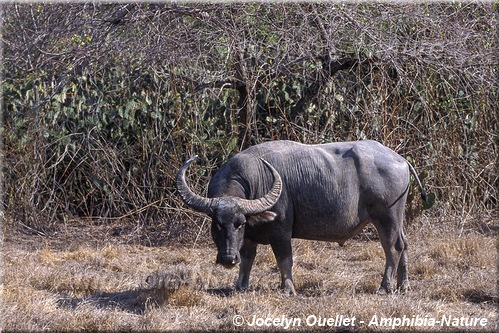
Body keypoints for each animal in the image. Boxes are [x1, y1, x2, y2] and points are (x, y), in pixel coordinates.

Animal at [176, 139, 426, 294]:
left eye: (239, 223)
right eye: (218, 224)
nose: (228, 259)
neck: (255, 180)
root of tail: (400, 160)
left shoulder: (280, 230)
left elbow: (284, 259)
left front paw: (287, 288)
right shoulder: (249, 237)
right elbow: (247, 260)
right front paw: (240, 286)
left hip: (386, 217)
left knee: (392, 248)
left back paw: (385, 287)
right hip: (397, 218)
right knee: (403, 244)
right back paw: (403, 286)